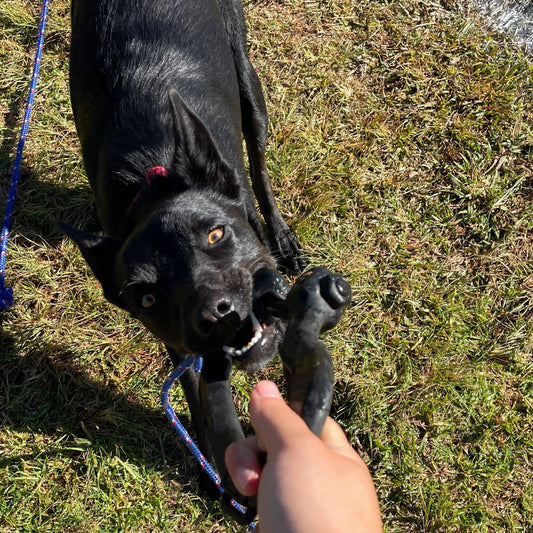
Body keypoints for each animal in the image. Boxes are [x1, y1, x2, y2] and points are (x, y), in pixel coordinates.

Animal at [62, 0, 304, 474]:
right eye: (146, 299)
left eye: (215, 234)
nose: (217, 315)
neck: (152, 180)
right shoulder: (175, 342)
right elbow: (196, 396)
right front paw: (213, 468)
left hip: (248, 83)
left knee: (259, 163)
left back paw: (282, 235)